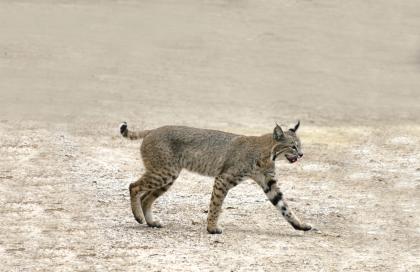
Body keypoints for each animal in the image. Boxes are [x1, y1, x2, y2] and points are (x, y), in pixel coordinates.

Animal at [119, 121, 312, 234]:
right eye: (293, 146)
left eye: (300, 146)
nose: (302, 154)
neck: (268, 155)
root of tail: (154, 128)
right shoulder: (223, 179)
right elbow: (216, 204)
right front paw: (212, 228)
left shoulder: (268, 183)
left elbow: (284, 206)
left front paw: (300, 225)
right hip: (164, 172)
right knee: (133, 186)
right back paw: (138, 217)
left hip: (169, 175)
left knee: (146, 197)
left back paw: (150, 222)